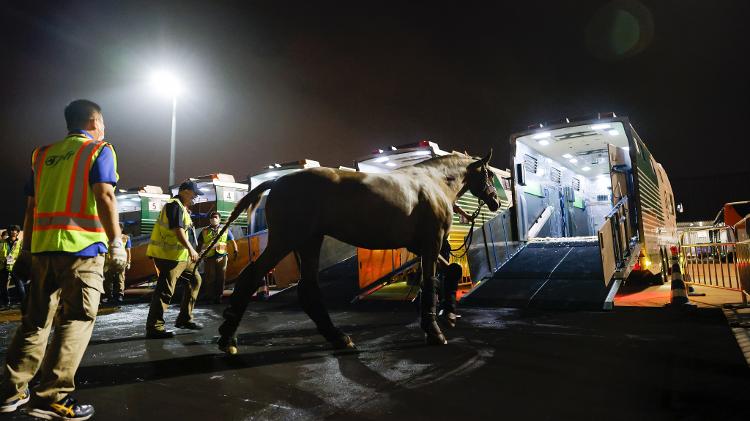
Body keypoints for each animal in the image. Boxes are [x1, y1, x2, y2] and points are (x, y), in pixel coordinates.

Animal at [203, 149, 502, 352]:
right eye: (489, 174)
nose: (496, 202)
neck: (432, 182)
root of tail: (276, 183)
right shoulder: (431, 242)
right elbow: (430, 282)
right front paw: (434, 331)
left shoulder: (418, 245)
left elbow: (452, 271)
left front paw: (449, 312)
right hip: (285, 241)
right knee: (252, 277)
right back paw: (228, 337)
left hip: (308, 242)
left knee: (308, 288)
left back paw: (337, 337)